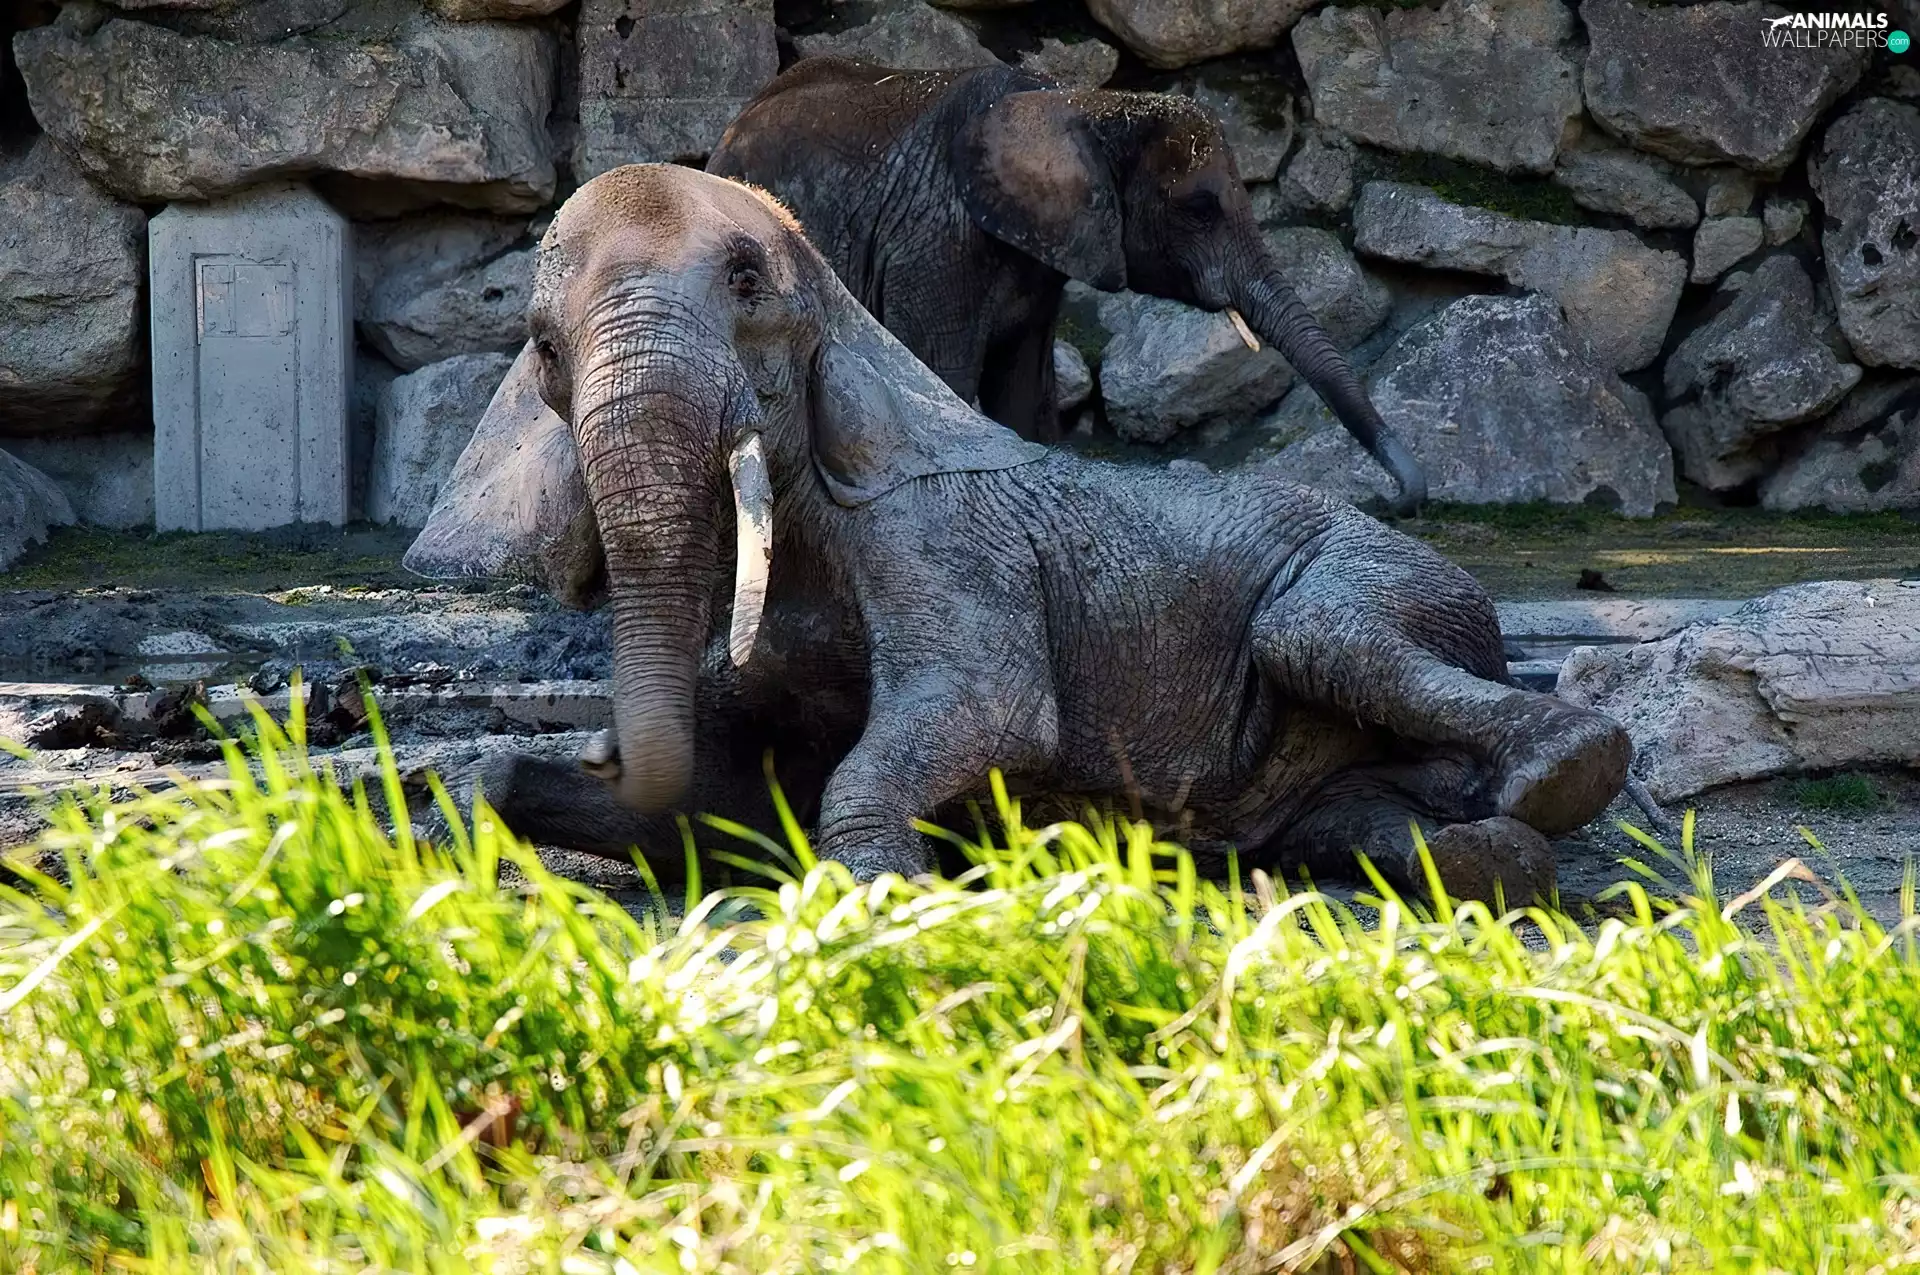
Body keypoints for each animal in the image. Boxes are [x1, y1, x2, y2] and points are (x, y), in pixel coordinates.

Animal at [449, 162, 1629, 904]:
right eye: (543, 348)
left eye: (747, 284)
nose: (597, 741)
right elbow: (713, 806)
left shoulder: (944, 548)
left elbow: (993, 712)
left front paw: (884, 885)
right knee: (1366, 822)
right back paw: (1479, 855)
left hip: (1391, 577)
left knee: (1314, 639)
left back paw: (1557, 779)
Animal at [706, 57, 1426, 513]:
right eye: (1199, 208)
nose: (1403, 498)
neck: (1080, 104)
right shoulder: (935, 246)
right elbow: (943, 381)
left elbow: (1023, 395)